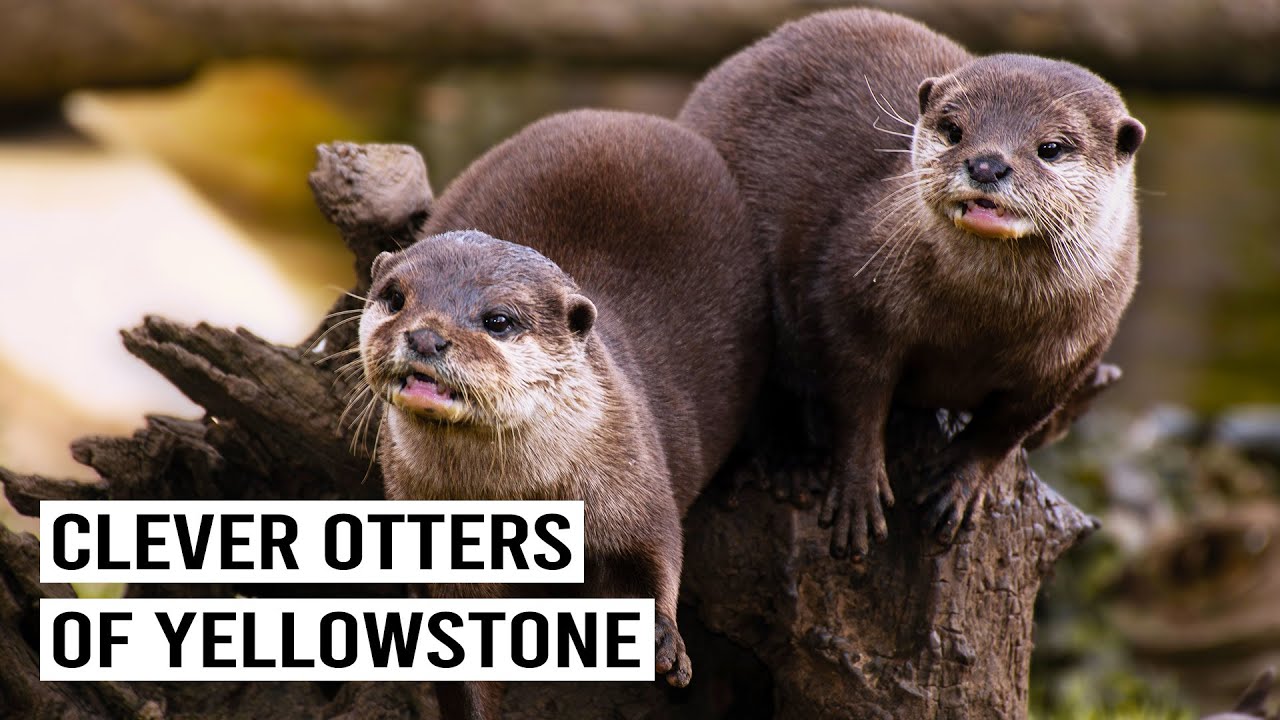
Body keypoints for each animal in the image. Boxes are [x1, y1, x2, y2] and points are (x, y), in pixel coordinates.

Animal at [356, 110, 767, 717]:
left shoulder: (631, 472)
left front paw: (662, 641)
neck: (515, 495)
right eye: (394, 297)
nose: (426, 336)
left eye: (498, 320)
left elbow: (655, 547)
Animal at [678, 9, 1144, 559]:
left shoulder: (1068, 359)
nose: (987, 164)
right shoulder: (856, 301)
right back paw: (790, 463)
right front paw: (856, 494)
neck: (981, 325)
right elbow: (857, 398)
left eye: (1050, 148)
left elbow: (1006, 429)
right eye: (954, 129)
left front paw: (959, 486)